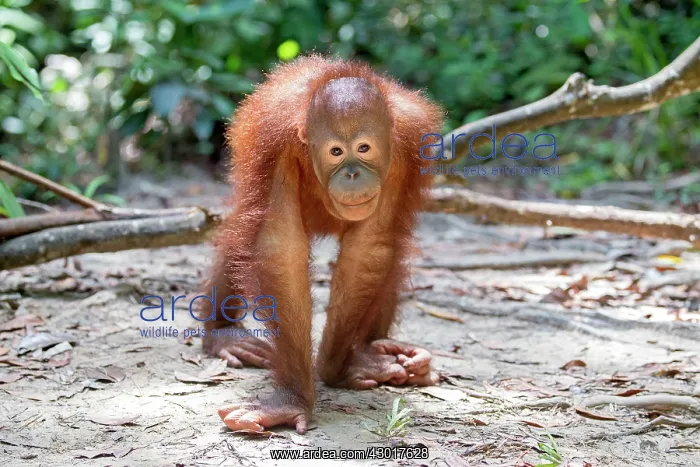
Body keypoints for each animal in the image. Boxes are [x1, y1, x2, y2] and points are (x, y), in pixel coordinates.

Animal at [198, 56, 444, 434]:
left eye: (364, 148)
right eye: (336, 152)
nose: (353, 174)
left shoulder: (404, 151)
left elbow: (369, 247)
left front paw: (337, 368)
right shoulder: (275, 145)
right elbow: (279, 246)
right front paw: (292, 400)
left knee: (390, 254)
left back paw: (375, 355)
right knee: (240, 234)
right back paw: (225, 335)